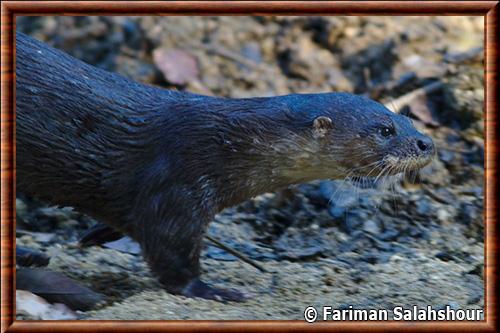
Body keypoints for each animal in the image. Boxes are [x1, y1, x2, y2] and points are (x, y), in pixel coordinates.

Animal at [13, 33, 432, 300]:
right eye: (385, 129)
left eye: (406, 116)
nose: (427, 142)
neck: (221, 145)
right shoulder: (175, 185)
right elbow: (171, 255)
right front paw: (213, 290)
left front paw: (95, 234)